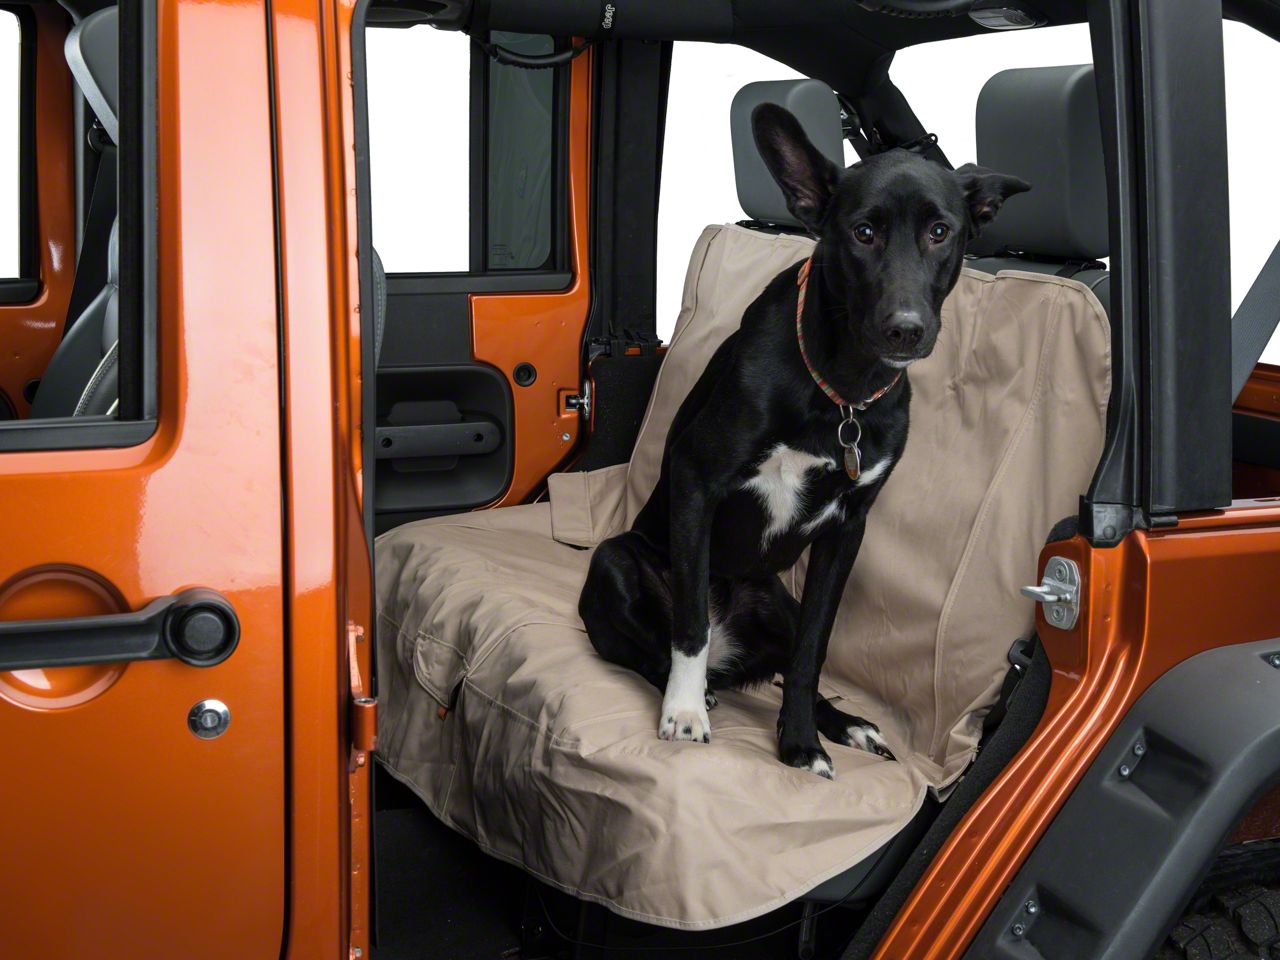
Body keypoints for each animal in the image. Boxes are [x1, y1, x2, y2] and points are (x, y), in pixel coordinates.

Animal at [581, 104, 1029, 783]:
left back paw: (843, 723)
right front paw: (684, 713)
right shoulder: (696, 477)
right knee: (659, 645)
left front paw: (800, 740)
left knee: (792, 656)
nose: (906, 329)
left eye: (940, 231)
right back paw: (695, 691)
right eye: (863, 232)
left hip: (779, 605)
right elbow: (688, 625)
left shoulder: (848, 530)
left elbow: (812, 653)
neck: (841, 391)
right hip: (614, 562)